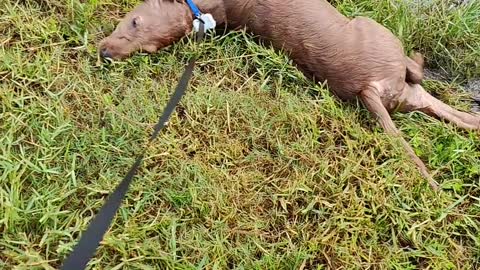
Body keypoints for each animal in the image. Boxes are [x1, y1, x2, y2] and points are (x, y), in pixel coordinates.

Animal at [98, 0, 480, 189]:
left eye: (136, 25)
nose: (105, 54)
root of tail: (368, 87)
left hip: (407, 92)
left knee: (459, 116)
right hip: (381, 38)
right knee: (418, 71)